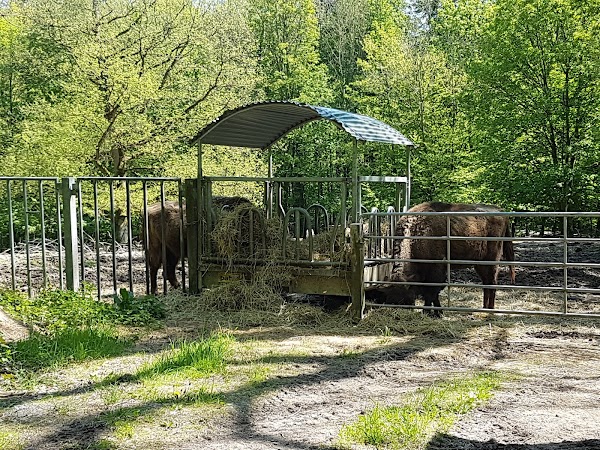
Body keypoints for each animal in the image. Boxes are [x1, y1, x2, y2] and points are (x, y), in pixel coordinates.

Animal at [368, 202, 515, 316]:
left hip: (491, 260)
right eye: (390, 299)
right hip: (479, 264)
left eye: (406, 298)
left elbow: (432, 293)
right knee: (486, 283)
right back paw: (484, 308)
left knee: (492, 282)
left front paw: (431, 312)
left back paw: (490, 310)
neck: (415, 233)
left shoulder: (436, 271)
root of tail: (500, 211)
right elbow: (431, 294)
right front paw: (434, 312)